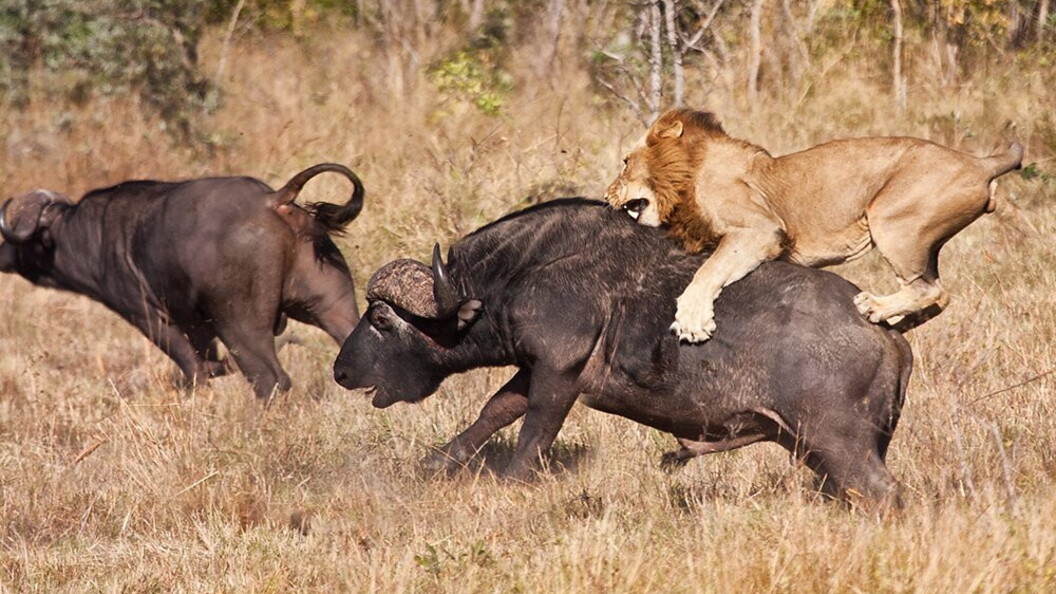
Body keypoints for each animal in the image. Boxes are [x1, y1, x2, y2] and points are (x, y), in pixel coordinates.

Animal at [605, 108, 1024, 343]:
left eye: (625, 162)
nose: (607, 193)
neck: (687, 175)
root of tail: (979, 162)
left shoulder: (760, 230)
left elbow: (708, 271)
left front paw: (692, 321)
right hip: (919, 239)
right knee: (940, 295)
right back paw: (893, 322)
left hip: (892, 222)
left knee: (930, 289)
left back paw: (874, 307)